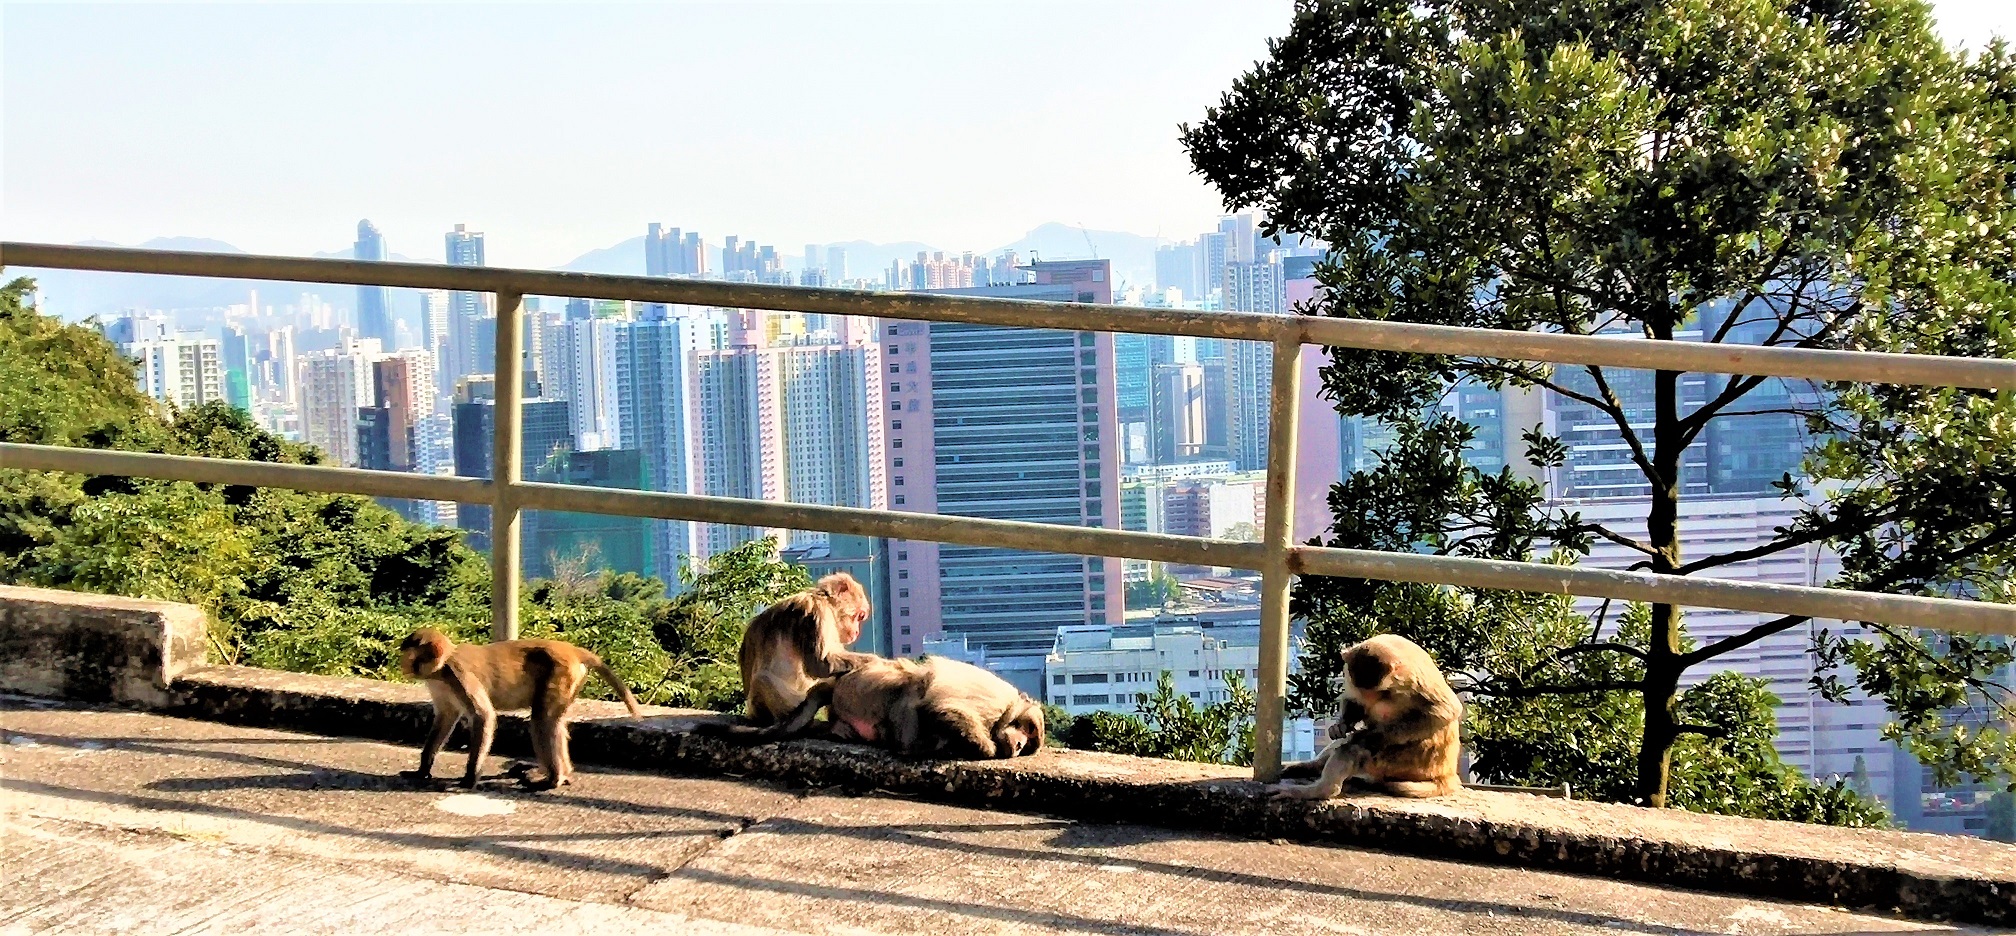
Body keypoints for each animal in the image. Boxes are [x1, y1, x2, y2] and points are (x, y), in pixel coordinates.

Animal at [397, 629, 641, 790]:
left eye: (408, 653)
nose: (402, 664)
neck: (441, 667)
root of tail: (571, 649)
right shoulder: (438, 684)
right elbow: (446, 717)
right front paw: (422, 770)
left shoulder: (458, 674)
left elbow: (483, 716)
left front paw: (470, 777)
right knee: (553, 722)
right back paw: (561, 775)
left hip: (561, 673)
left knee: (542, 720)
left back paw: (554, 779)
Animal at [689, 649, 1040, 758]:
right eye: (1028, 729)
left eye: (1029, 741)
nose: (1020, 744)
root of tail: (836, 684)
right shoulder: (993, 702)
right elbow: (945, 707)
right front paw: (986, 748)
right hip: (865, 683)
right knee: (913, 688)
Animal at [733, 568, 874, 722]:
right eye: (859, 616)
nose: (857, 631)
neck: (825, 602)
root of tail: (752, 713)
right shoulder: (816, 613)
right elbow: (820, 665)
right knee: (762, 680)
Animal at [1274, 633, 1467, 798]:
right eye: (1363, 691)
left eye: (1380, 692)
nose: (1369, 698)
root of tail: (1446, 773)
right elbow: (1354, 702)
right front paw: (1340, 725)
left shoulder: (1413, 678)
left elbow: (1445, 710)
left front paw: (1369, 734)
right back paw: (1305, 768)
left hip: (1410, 763)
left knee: (1357, 748)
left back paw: (1322, 790)